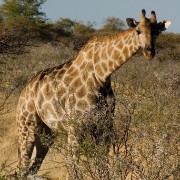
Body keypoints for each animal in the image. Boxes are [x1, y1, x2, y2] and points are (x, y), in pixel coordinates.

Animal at [16, 9, 171, 179]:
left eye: (157, 32)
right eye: (138, 31)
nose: (149, 52)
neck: (102, 74)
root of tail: (23, 92)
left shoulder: (105, 125)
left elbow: (103, 162)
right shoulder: (75, 127)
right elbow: (74, 167)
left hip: (47, 134)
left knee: (31, 169)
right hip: (27, 127)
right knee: (22, 167)